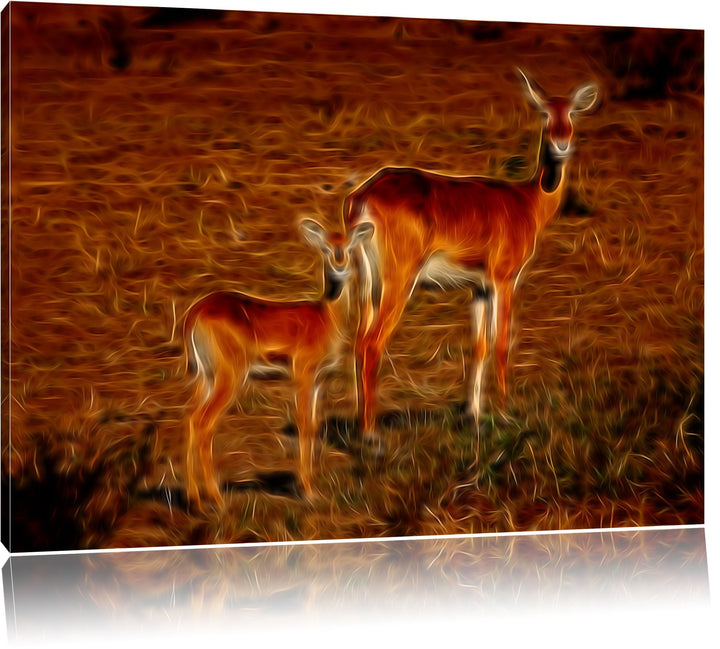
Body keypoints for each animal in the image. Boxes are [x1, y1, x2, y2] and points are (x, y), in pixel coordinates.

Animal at [183, 218, 374, 507]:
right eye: (325, 248)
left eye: (350, 247)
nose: (339, 267)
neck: (326, 318)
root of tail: (197, 312)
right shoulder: (302, 374)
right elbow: (304, 426)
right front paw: (308, 492)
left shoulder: (319, 380)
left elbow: (314, 426)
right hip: (230, 376)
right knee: (204, 423)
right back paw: (217, 500)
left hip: (204, 377)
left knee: (192, 419)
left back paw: (193, 498)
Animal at [344, 70, 599, 437]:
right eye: (544, 113)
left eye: (573, 113)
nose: (560, 144)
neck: (528, 201)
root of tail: (363, 195)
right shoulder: (504, 280)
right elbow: (503, 344)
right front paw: (506, 414)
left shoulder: (479, 287)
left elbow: (479, 347)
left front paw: (474, 415)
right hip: (399, 281)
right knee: (372, 344)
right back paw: (370, 432)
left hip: (368, 282)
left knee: (357, 342)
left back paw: (357, 422)